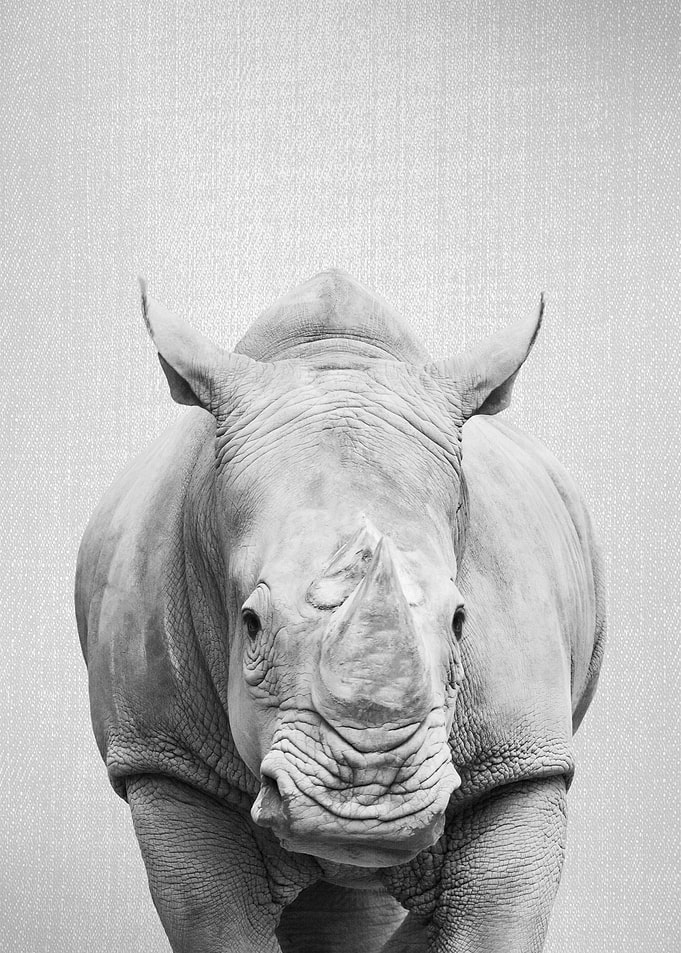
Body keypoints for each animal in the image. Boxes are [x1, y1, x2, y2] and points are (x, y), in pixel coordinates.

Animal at [76, 269, 605, 953]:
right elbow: (215, 918)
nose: (368, 806)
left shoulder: (522, 763)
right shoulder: (165, 759)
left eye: (461, 621)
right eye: (249, 624)